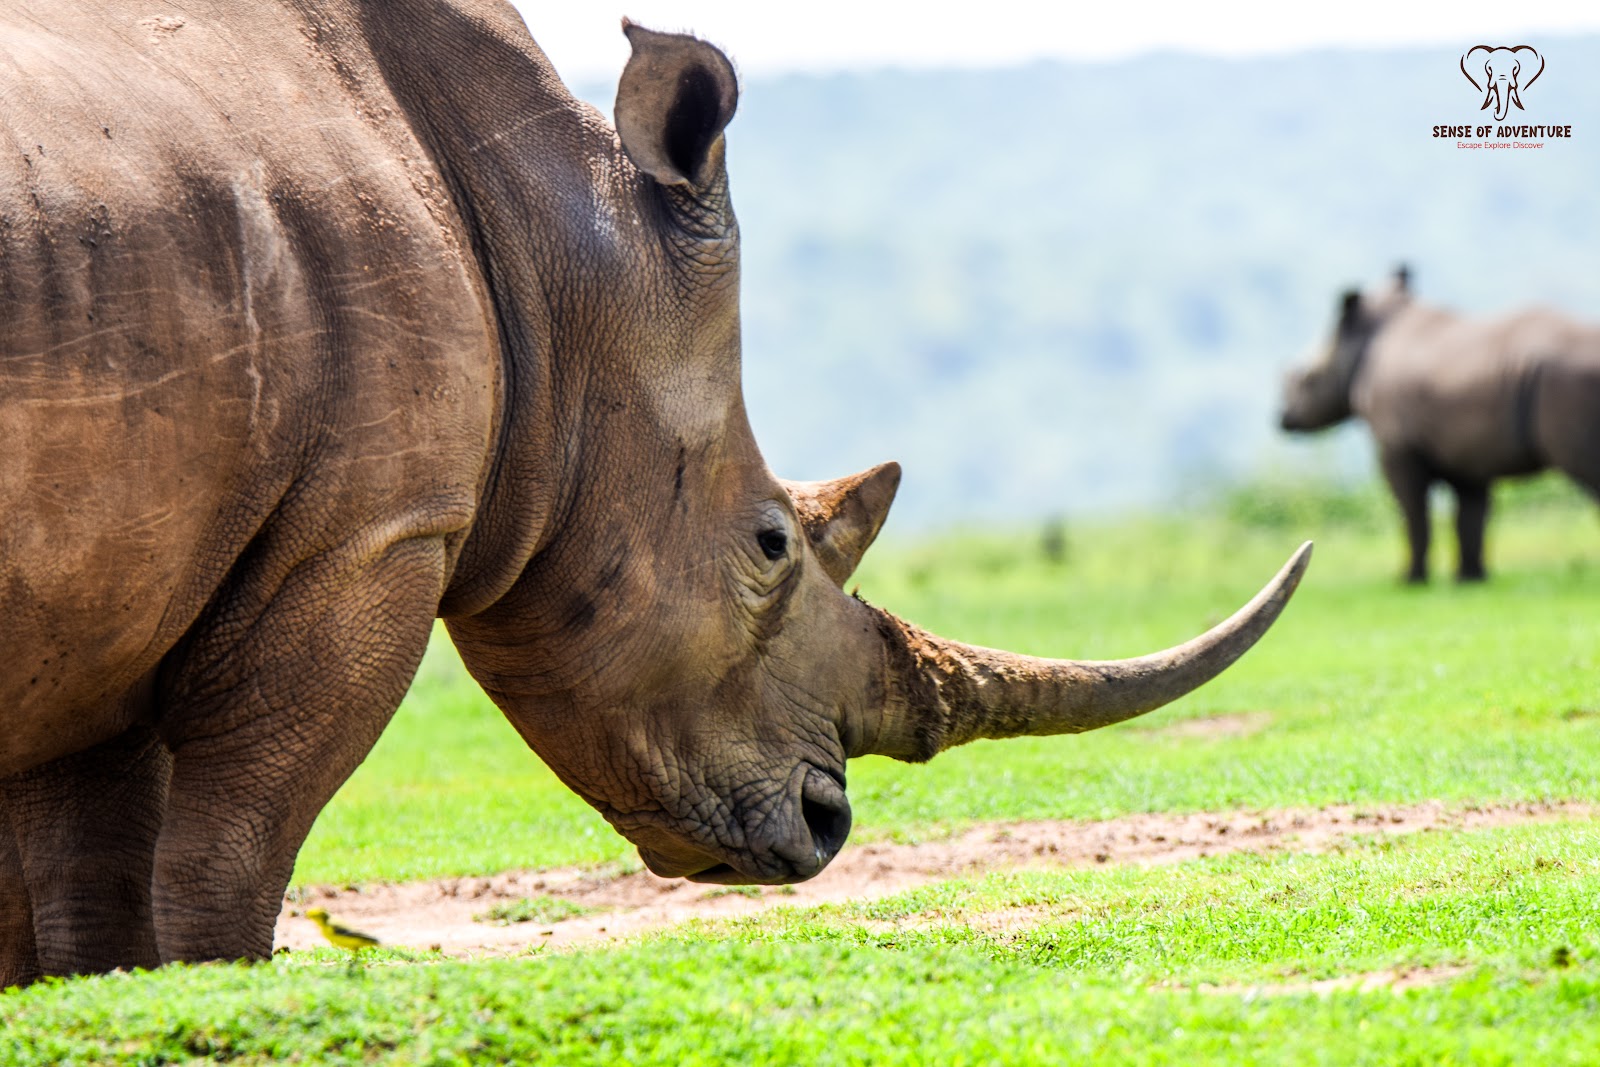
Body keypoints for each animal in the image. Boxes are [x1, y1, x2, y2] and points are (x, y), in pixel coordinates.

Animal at [0, 0, 1310, 983]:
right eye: (772, 544)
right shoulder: (367, 536)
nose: (827, 822)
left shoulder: (117, 586)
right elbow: (228, 856)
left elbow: (81, 897)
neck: (553, 257)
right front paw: (216, 983)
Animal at [1281, 267, 1600, 581]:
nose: (1282, 419)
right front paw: (1471, 578)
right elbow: (1470, 516)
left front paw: (1410, 579)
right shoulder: (1466, 451)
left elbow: (1412, 509)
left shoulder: (1397, 446)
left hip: (1564, 380)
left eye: (1307, 378)